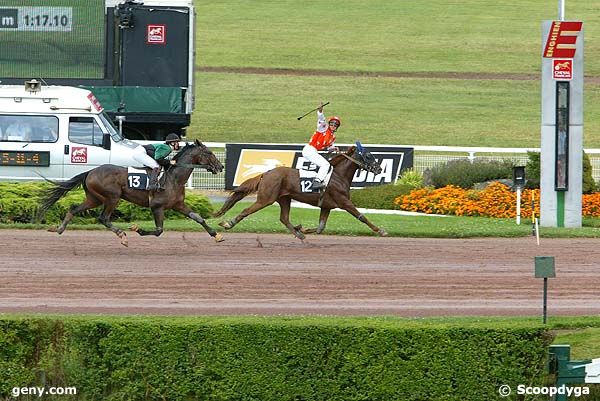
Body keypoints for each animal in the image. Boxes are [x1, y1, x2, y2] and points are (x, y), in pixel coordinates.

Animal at [38, 139, 225, 245]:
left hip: (94, 198)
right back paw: (122, 235)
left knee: (74, 208)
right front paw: (138, 229)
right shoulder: (157, 207)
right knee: (103, 218)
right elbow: (159, 230)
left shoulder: (178, 205)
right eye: (209, 153)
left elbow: (198, 218)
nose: (221, 166)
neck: (174, 178)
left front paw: (216, 235)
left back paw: (59, 229)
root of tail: (90, 172)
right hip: (112, 197)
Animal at [214, 143, 390, 239]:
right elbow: (362, 217)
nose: (379, 168)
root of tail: (267, 173)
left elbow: (320, 228)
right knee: (246, 210)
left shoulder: (326, 206)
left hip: (284, 199)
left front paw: (303, 228)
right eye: (368, 156)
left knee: (284, 218)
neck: (338, 176)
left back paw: (298, 233)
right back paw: (229, 223)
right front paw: (381, 230)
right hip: (266, 198)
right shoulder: (344, 202)